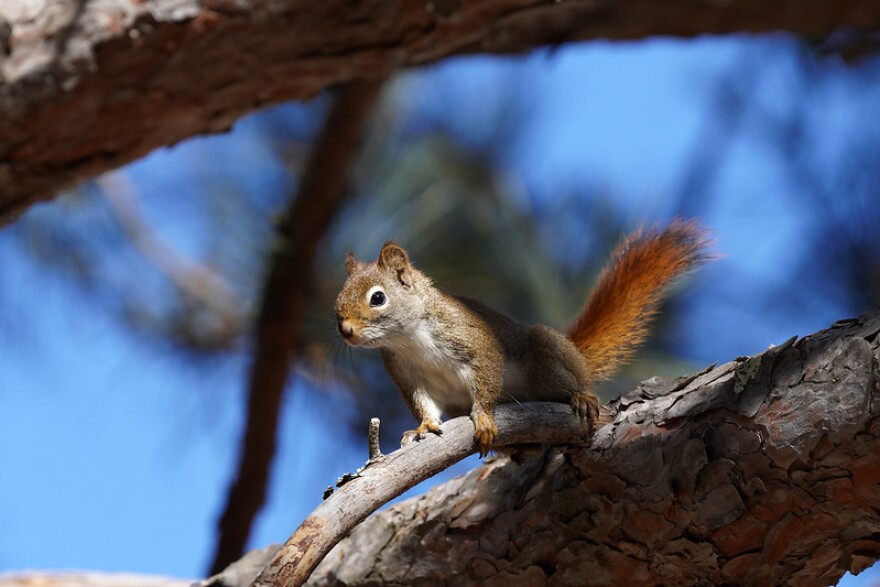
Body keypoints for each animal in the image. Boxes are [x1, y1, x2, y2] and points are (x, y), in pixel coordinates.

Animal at [334, 219, 712, 454]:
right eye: (338, 299)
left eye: (378, 298)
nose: (346, 331)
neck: (409, 339)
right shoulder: (407, 374)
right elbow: (424, 405)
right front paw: (423, 427)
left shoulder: (476, 341)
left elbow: (487, 378)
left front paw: (484, 417)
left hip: (546, 353)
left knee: (571, 381)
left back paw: (580, 397)